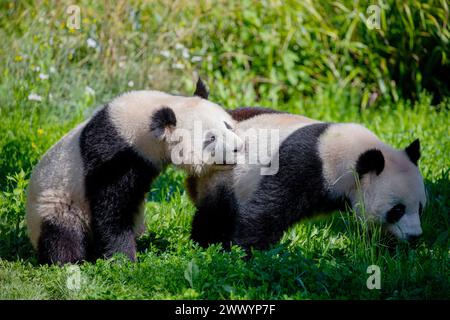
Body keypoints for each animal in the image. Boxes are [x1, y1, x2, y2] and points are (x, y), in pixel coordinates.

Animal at [25, 80, 243, 264]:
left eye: (227, 125)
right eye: (210, 138)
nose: (238, 148)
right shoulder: (114, 157)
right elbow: (112, 210)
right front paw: (123, 260)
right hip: (58, 202)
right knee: (63, 233)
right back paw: (69, 261)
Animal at [186, 109, 426, 251]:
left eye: (421, 208)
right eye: (397, 210)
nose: (415, 236)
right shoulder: (303, 166)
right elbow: (266, 212)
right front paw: (247, 253)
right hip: (222, 177)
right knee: (215, 215)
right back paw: (205, 244)